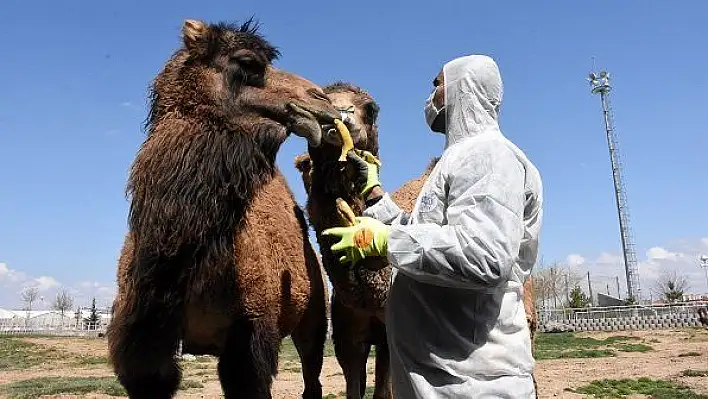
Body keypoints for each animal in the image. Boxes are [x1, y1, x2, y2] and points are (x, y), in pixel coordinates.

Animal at [106, 18, 342, 399]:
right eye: (247, 63)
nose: (323, 100)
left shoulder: (251, 338)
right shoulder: (144, 347)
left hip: (315, 316)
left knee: (312, 371)